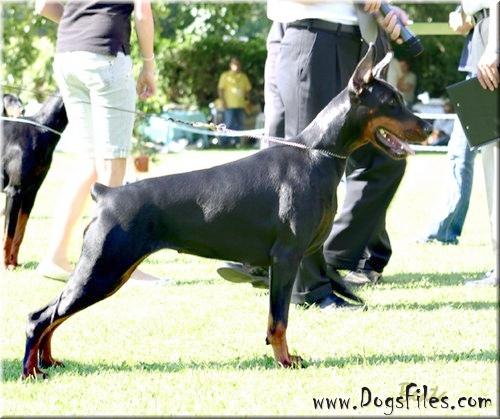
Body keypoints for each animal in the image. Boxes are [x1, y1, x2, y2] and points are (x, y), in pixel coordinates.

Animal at [2, 93, 67, 269]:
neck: (42, 130)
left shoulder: (31, 193)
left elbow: (20, 231)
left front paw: (14, 262)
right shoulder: (14, 191)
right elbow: (9, 232)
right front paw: (5, 264)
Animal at [22, 45, 432, 378]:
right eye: (391, 102)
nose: (428, 127)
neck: (318, 155)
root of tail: (106, 194)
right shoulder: (286, 258)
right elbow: (279, 320)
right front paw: (285, 361)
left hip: (110, 272)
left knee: (52, 315)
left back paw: (49, 361)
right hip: (101, 269)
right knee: (39, 317)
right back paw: (31, 371)